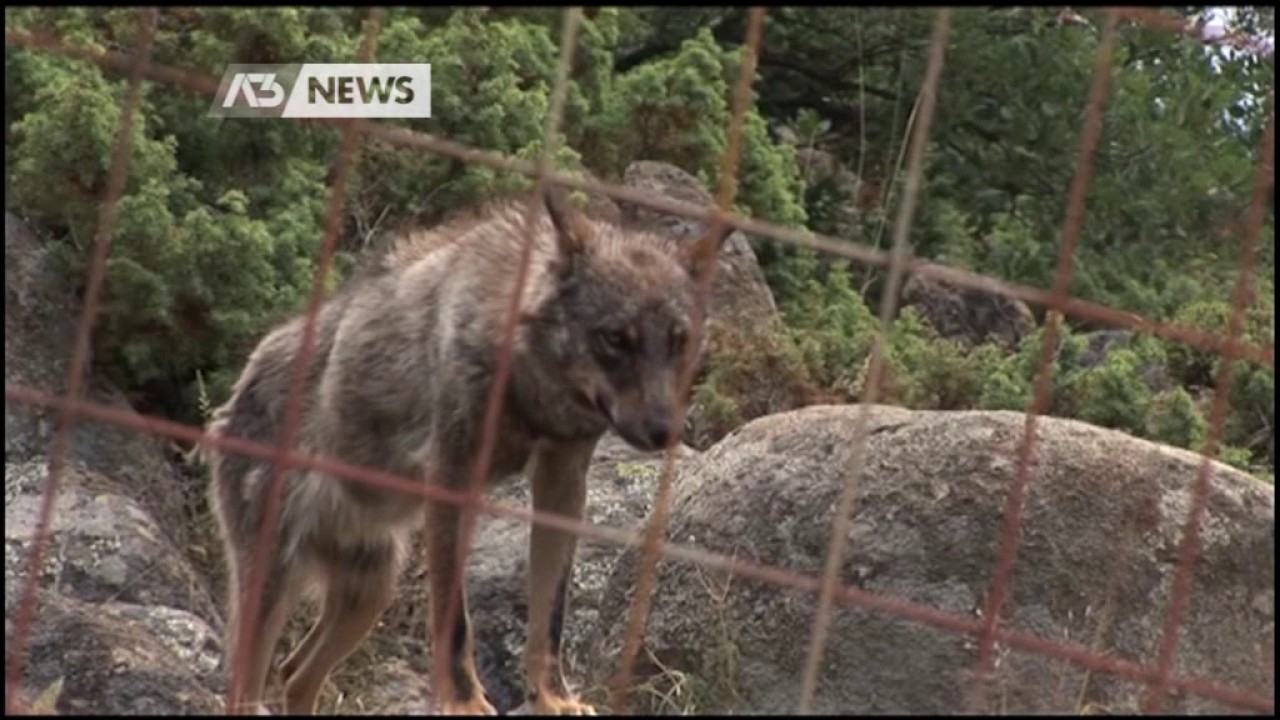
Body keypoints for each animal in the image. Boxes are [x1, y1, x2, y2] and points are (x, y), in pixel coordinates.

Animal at [199, 188, 732, 712]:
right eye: (616, 338)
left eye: (679, 342)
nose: (664, 431)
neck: (526, 383)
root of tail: (235, 390)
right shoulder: (452, 478)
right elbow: (454, 620)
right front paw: (465, 702)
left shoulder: (562, 482)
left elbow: (551, 615)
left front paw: (553, 698)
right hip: (272, 591)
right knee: (247, 686)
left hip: (371, 591)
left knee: (294, 676)